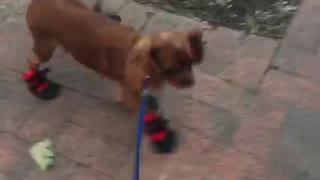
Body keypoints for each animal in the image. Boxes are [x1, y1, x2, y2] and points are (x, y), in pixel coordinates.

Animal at [26, 0, 204, 113]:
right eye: (169, 69)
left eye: (190, 63)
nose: (191, 83)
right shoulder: (129, 91)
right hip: (45, 48)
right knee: (32, 61)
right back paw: (38, 83)